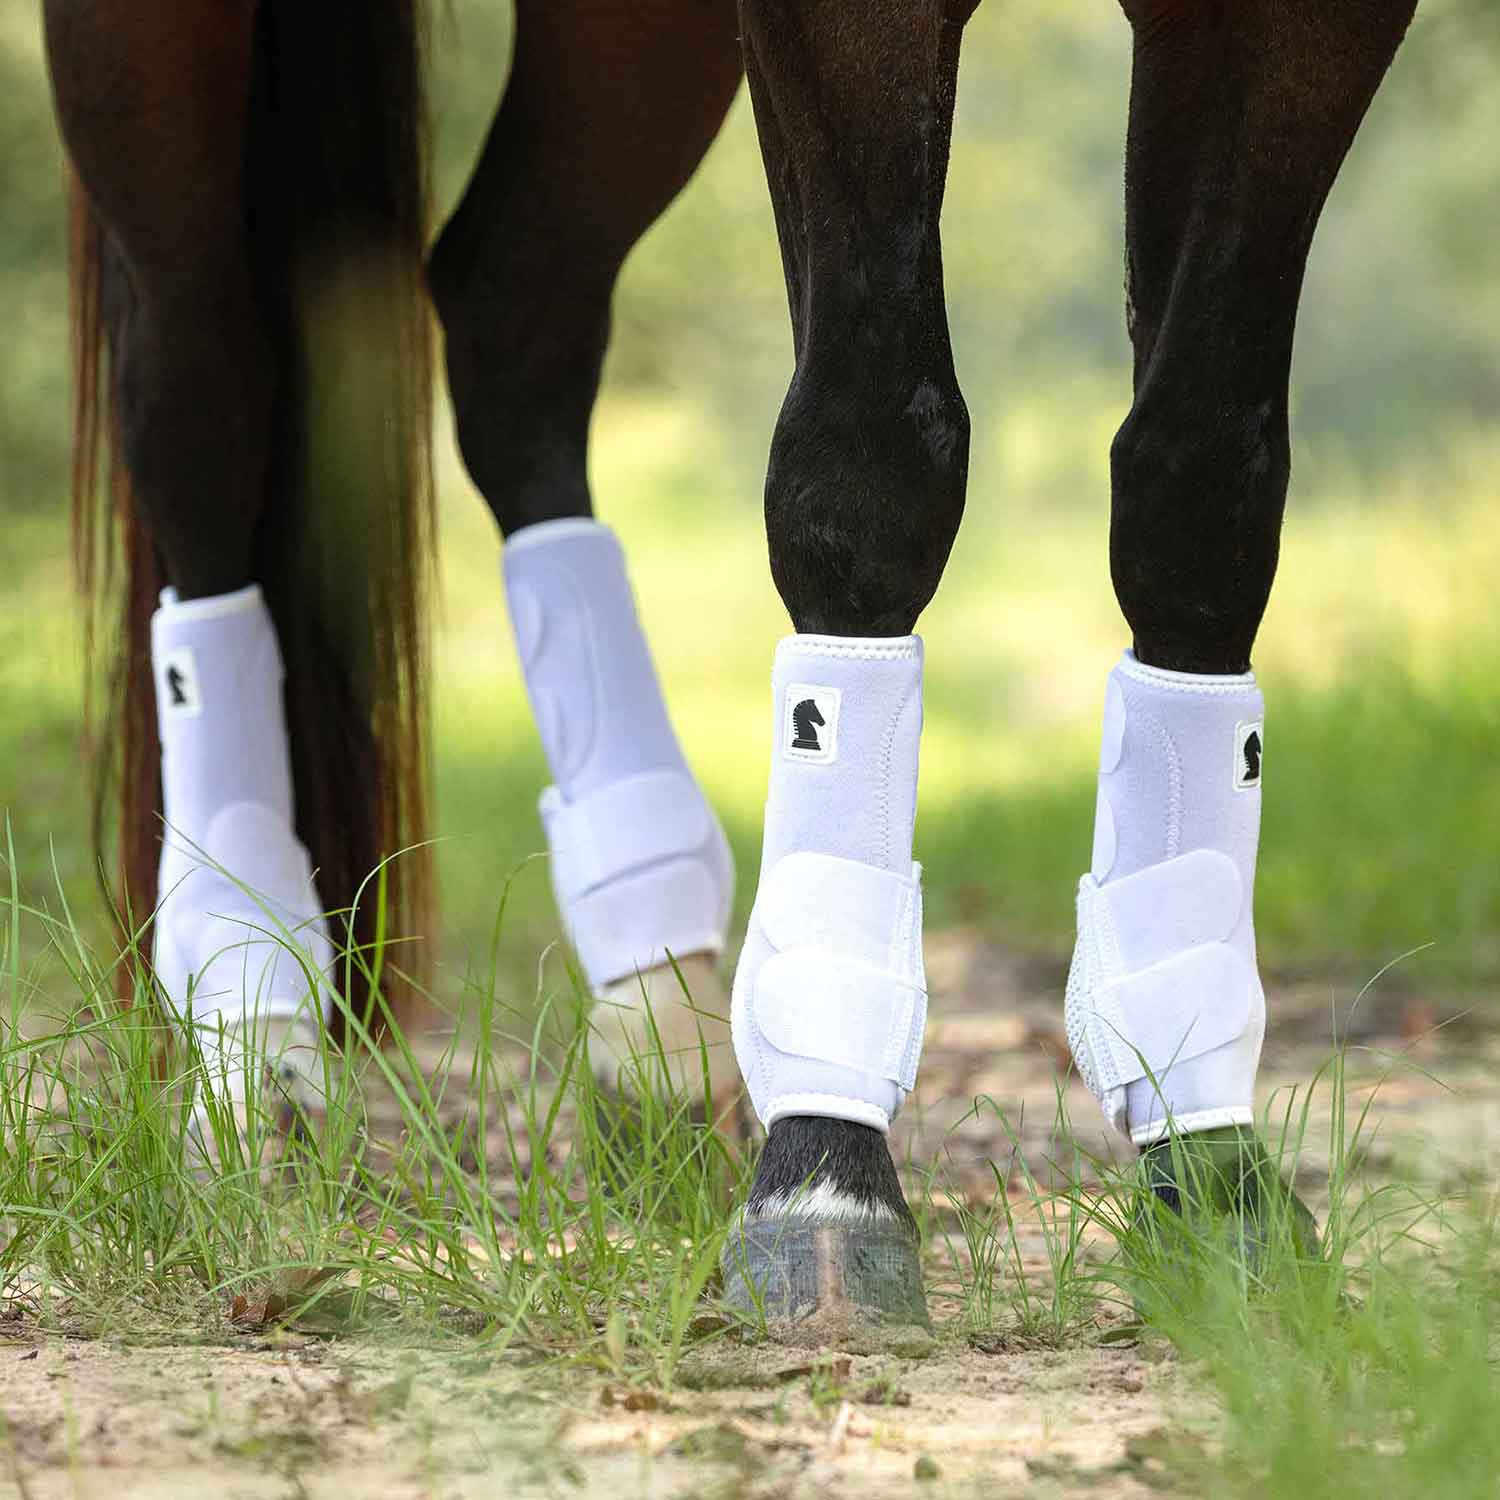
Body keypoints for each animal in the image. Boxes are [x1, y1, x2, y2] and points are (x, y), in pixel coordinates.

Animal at [43, 0, 1413, 1338]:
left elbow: (1202, 485)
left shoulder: (1298, 26)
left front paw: (1214, 1181)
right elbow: (870, 456)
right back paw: (253, 1031)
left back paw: (654, 1008)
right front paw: (827, 1173)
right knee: (199, 386)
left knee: (511, 311)